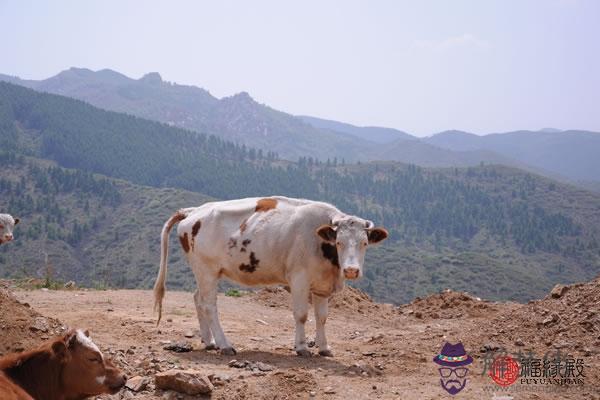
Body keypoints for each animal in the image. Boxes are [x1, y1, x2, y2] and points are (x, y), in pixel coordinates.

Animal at [154, 197, 390, 356]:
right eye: (339, 242)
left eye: (364, 243)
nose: (351, 270)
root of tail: (193, 211)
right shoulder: (299, 279)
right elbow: (301, 315)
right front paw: (302, 348)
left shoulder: (322, 285)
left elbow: (322, 317)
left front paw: (324, 348)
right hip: (207, 269)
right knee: (209, 305)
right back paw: (225, 345)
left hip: (204, 272)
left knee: (198, 299)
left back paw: (209, 341)